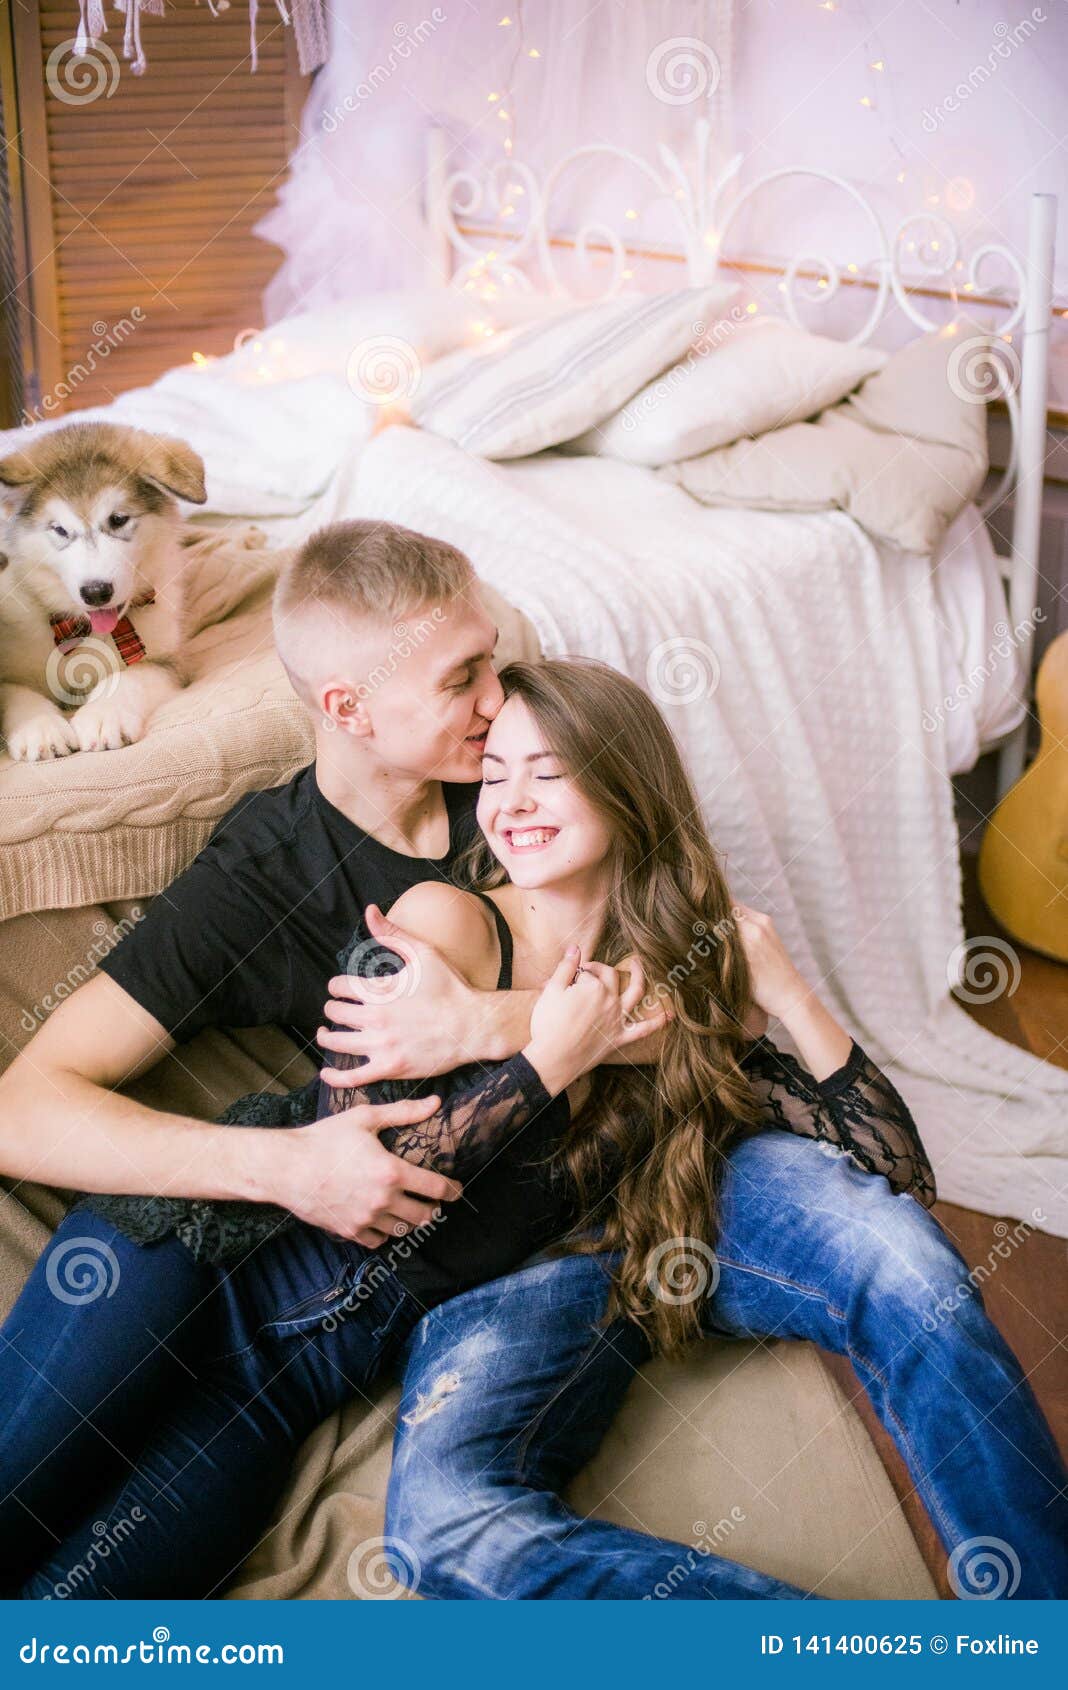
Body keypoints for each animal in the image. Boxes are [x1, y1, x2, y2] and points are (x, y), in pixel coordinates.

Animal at [0, 422, 205, 767]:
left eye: (118, 519)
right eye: (60, 530)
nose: (96, 592)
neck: (82, 628)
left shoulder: (168, 660)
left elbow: (131, 677)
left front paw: (103, 715)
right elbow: (14, 693)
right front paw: (39, 729)